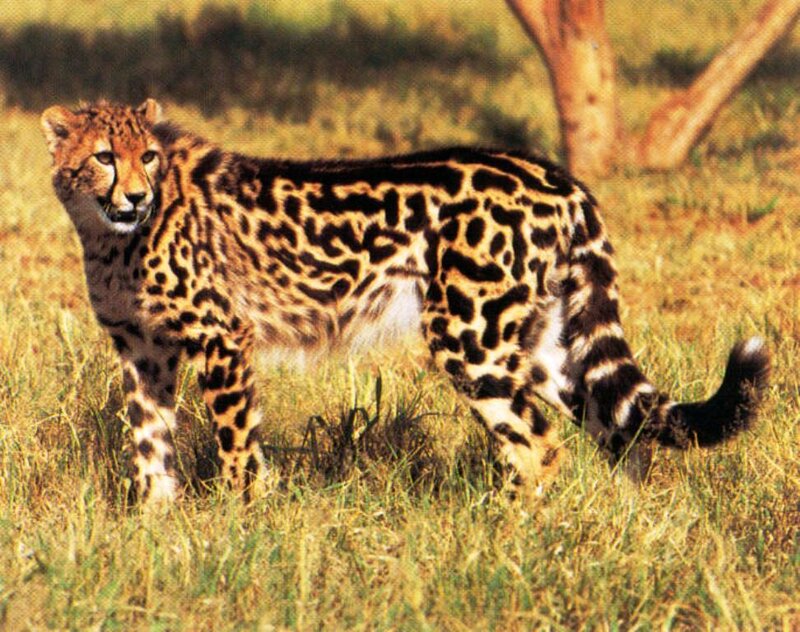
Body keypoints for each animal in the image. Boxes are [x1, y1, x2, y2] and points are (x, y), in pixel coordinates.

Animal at [41, 99, 770, 504]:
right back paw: (622, 535)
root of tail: (558, 175)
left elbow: (238, 449)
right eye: (104, 157)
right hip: (541, 343)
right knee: (624, 428)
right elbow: (148, 442)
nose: (136, 196)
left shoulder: (223, 338)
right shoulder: (144, 350)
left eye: (148, 157)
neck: (111, 233)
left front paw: (241, 529)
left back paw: (502, 543)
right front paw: (156, 526)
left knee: (537, 445)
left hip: (471, 339)